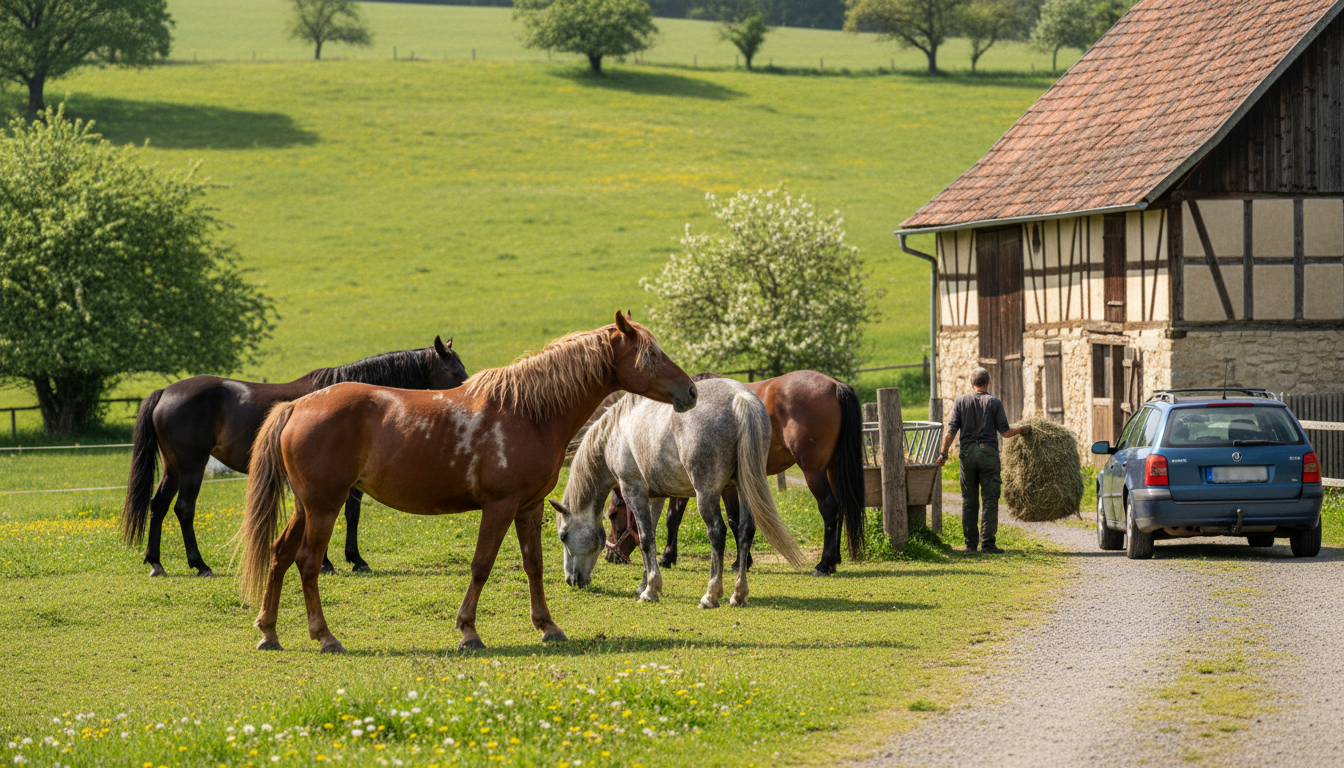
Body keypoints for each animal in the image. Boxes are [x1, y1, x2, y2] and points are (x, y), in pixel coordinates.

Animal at [122, 337, 468, 577]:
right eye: (453, 371)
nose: (468, 394)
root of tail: (165, 392)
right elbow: (341, 514)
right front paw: (338, 561)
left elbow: (347, 515)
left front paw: (348, 559)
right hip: (193, 466)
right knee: (183, 509)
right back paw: (199, 564)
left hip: (173, 468)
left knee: (158, 505)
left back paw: (156, 562)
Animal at [237, 313, 697, 652]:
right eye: (651, 355)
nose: (691, 391)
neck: (528, 413)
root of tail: (297, 406)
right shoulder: (499, 506)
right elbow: (481, 565)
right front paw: (468, 632)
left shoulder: (527, 507)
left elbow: (533, 565)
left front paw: (547, 627)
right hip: (324, 507)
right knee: (307, 562)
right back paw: (325, 637)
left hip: (306, 507)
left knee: (279, 554)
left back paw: (269, 632)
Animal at [557, 377, 807, 609]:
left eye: (563, 536)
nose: (571, 580)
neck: (615, 433)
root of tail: (740, 398)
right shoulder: (654, 497)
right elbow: (647, 536)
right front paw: (645, 584)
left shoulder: (633, 491)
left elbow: (645, 539)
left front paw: (650, 591)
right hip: (744, 488)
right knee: (746, 531)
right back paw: (738, 595)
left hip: (707, 494)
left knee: (717, 532)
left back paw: (711, 595)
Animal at [608, 370, 865, 576]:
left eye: (611, 515)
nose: (611, 556)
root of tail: (834, 385)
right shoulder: (722, 485)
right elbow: (730, 519)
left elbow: (678, 519)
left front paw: (668, 557)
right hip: (832, 468)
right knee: (840, 507)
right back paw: (835, 559)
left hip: (813, 471)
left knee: (829, 507)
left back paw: (824, 564)